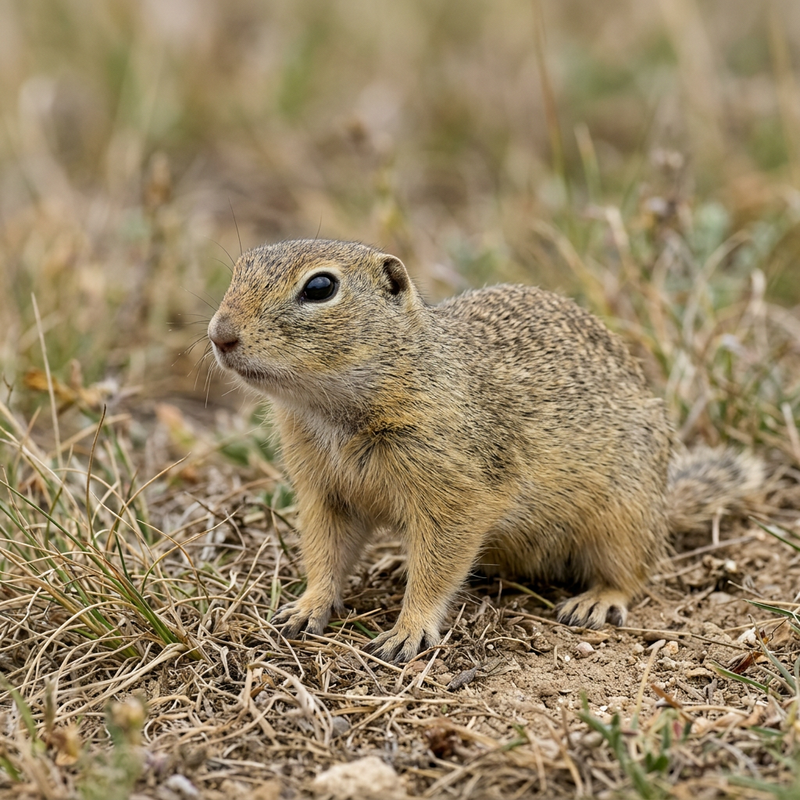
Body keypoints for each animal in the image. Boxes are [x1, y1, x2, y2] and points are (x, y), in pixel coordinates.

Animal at [208, 239, 764, 662]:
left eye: (320, 287)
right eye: (237, 270)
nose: (219, 334)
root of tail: (664, 506)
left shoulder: (459, 494)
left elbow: (436, 568)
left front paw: (407, 631)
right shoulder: (325, 494)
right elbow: (325, 556)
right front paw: (304, 609)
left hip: (623, 516)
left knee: (632, 571)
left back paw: (595, 601)